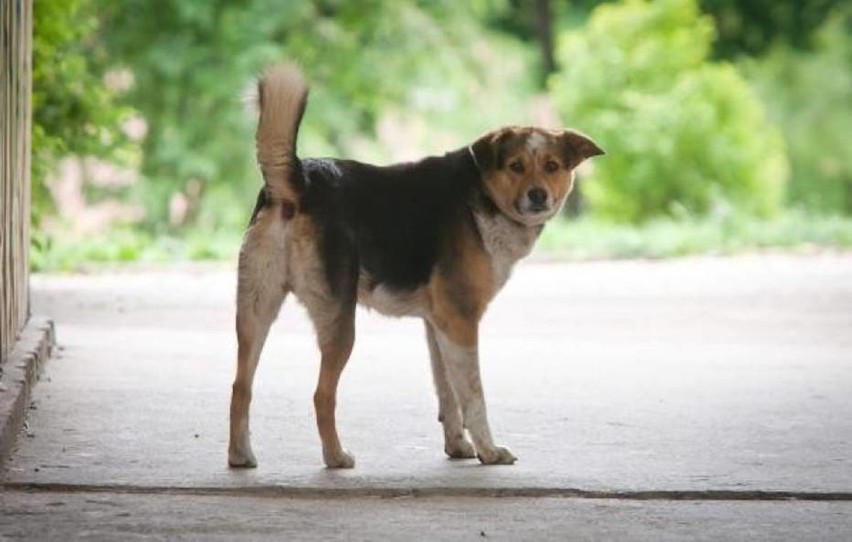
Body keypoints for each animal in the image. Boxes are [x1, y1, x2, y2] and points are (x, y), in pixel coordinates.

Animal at [228, 65, 604, 472]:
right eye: (515, 166)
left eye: (552, 166)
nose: (538, 195)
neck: (483, 196)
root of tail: (296, 181)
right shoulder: (461, 321)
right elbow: (473, 396)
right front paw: (488, 451)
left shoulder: (438, 325)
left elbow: (448, 394)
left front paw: (457, 446)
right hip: (339, 320)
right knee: (321, 395)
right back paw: (336, 456)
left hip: (255, 310)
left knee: (240, 386)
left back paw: (240, 456)